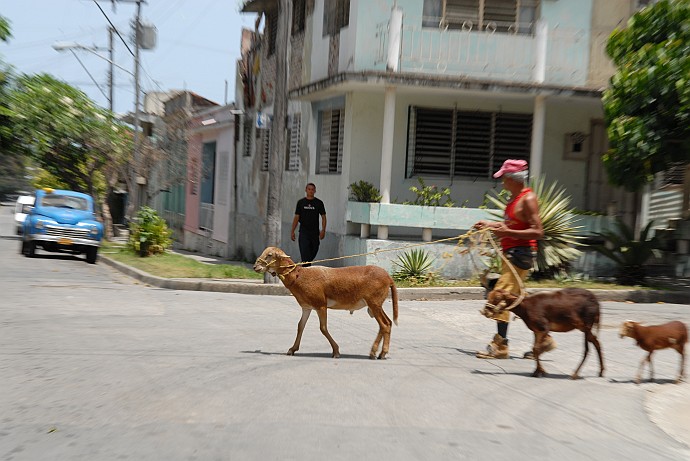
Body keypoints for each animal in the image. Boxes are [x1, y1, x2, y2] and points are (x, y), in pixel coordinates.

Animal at [253, 248, 398, 360]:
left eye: (270, 255)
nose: (255, 266)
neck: (299, 276)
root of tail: (389, 278)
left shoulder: (320, 305)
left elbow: (323, 328)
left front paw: (336, 351)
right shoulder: (307, 307)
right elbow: (300, 326)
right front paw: (292, 349)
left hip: (374, 302)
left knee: (384, 325)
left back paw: (377, 353)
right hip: (376, 304)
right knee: (388, 323)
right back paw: (379, 353)